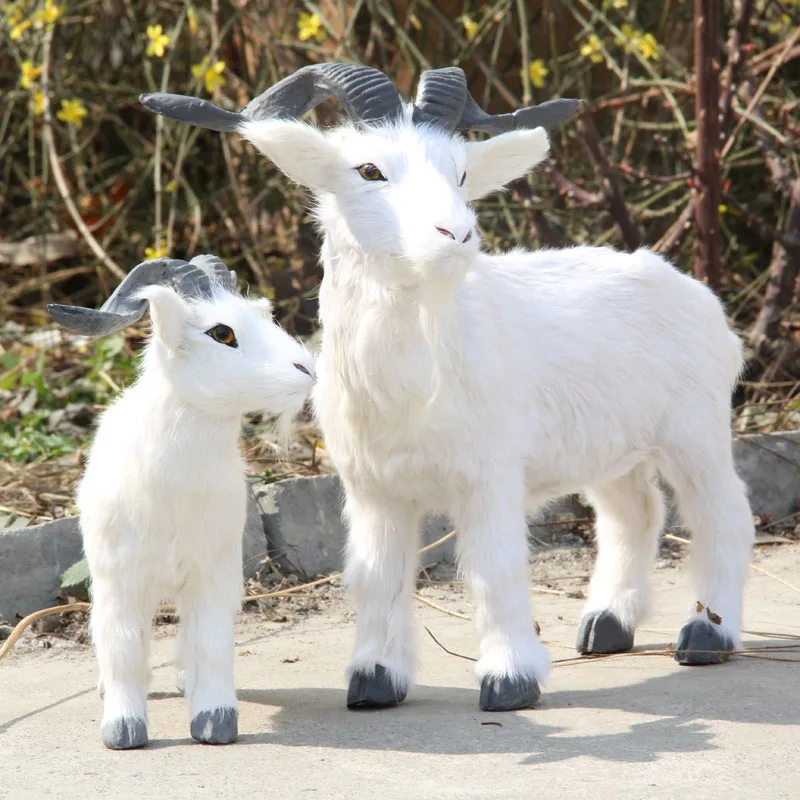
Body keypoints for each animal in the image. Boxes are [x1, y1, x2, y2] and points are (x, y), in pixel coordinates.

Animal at [47, 255, 315, 748]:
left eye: (264, 314)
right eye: (222, 333)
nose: (306, 368)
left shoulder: (213, 576)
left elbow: (211, 644)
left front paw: (215, 723)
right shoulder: (120, 581)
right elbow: (123, 646)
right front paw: (123, 730)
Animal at [141, 65, 755, 713]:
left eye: (460, 173)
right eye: (369, 170)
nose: (455, 234)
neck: (413, 386)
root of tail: (698, 295)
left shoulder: (490, 476)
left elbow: (494, 567)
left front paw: (510, 681)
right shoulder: (373, 489)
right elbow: (377, 575)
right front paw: (374, 680)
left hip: (695, 429)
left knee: (723, 513)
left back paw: (706, 634)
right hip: (611, 447)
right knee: (633, 511)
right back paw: (607, 626)